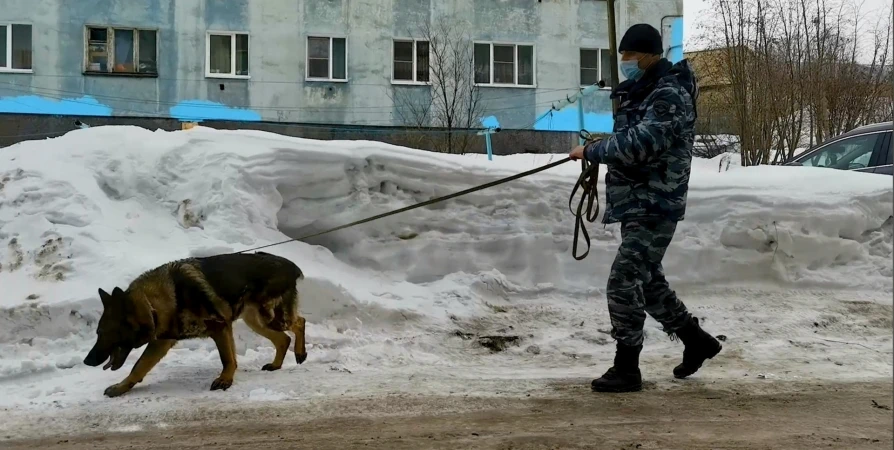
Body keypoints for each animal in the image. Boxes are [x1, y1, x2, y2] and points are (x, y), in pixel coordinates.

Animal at [84, 253, 308, 398]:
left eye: (102, 333)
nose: (87, 361)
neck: (153, 305)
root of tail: (291, 265)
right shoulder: (161, 343)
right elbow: (138, 367)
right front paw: (122, 387)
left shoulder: (220, 327)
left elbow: (227, 359)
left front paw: (225, 379)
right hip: (256, 321)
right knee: (283, 338)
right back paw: (276, 364)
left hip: (271, 317)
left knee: (299, 323)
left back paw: (300, 353)